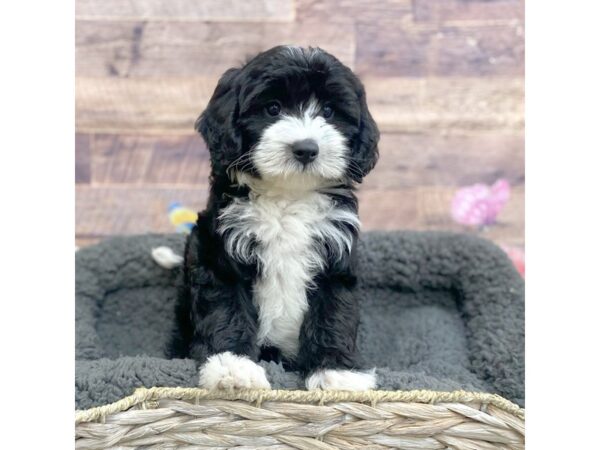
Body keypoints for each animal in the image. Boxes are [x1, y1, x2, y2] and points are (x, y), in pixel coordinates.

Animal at [166, 44, 378, 390]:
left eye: (329, 112)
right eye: (273, 108)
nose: (305, 148)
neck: (287, 196)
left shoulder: (336, 257)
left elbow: (333, 312)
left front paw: (336, 373)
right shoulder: (218, 254)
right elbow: (226, 309)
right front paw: (232, 366)